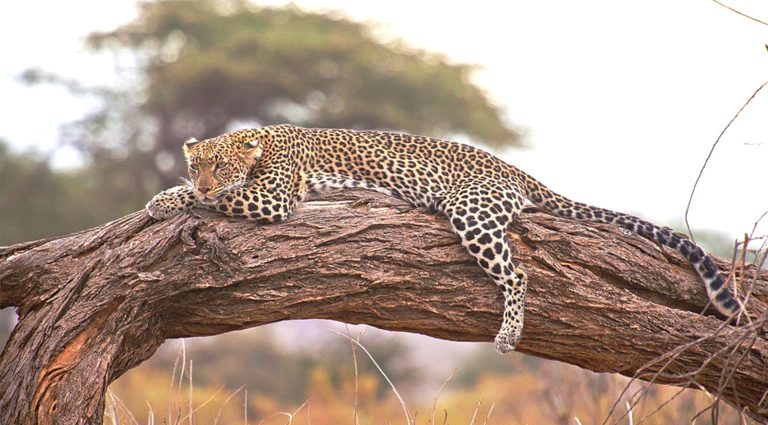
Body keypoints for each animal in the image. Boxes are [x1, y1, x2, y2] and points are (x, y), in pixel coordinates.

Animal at [146, 124, 742, 353]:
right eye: (198, 164)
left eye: (220, 168)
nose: (203, 178)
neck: (260, 141)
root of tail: (515, 170)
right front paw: (166, 195)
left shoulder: (272, 197)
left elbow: (212, 201)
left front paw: (167, 201)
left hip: (470, 211)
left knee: (518, 272)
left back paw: (508, 335)